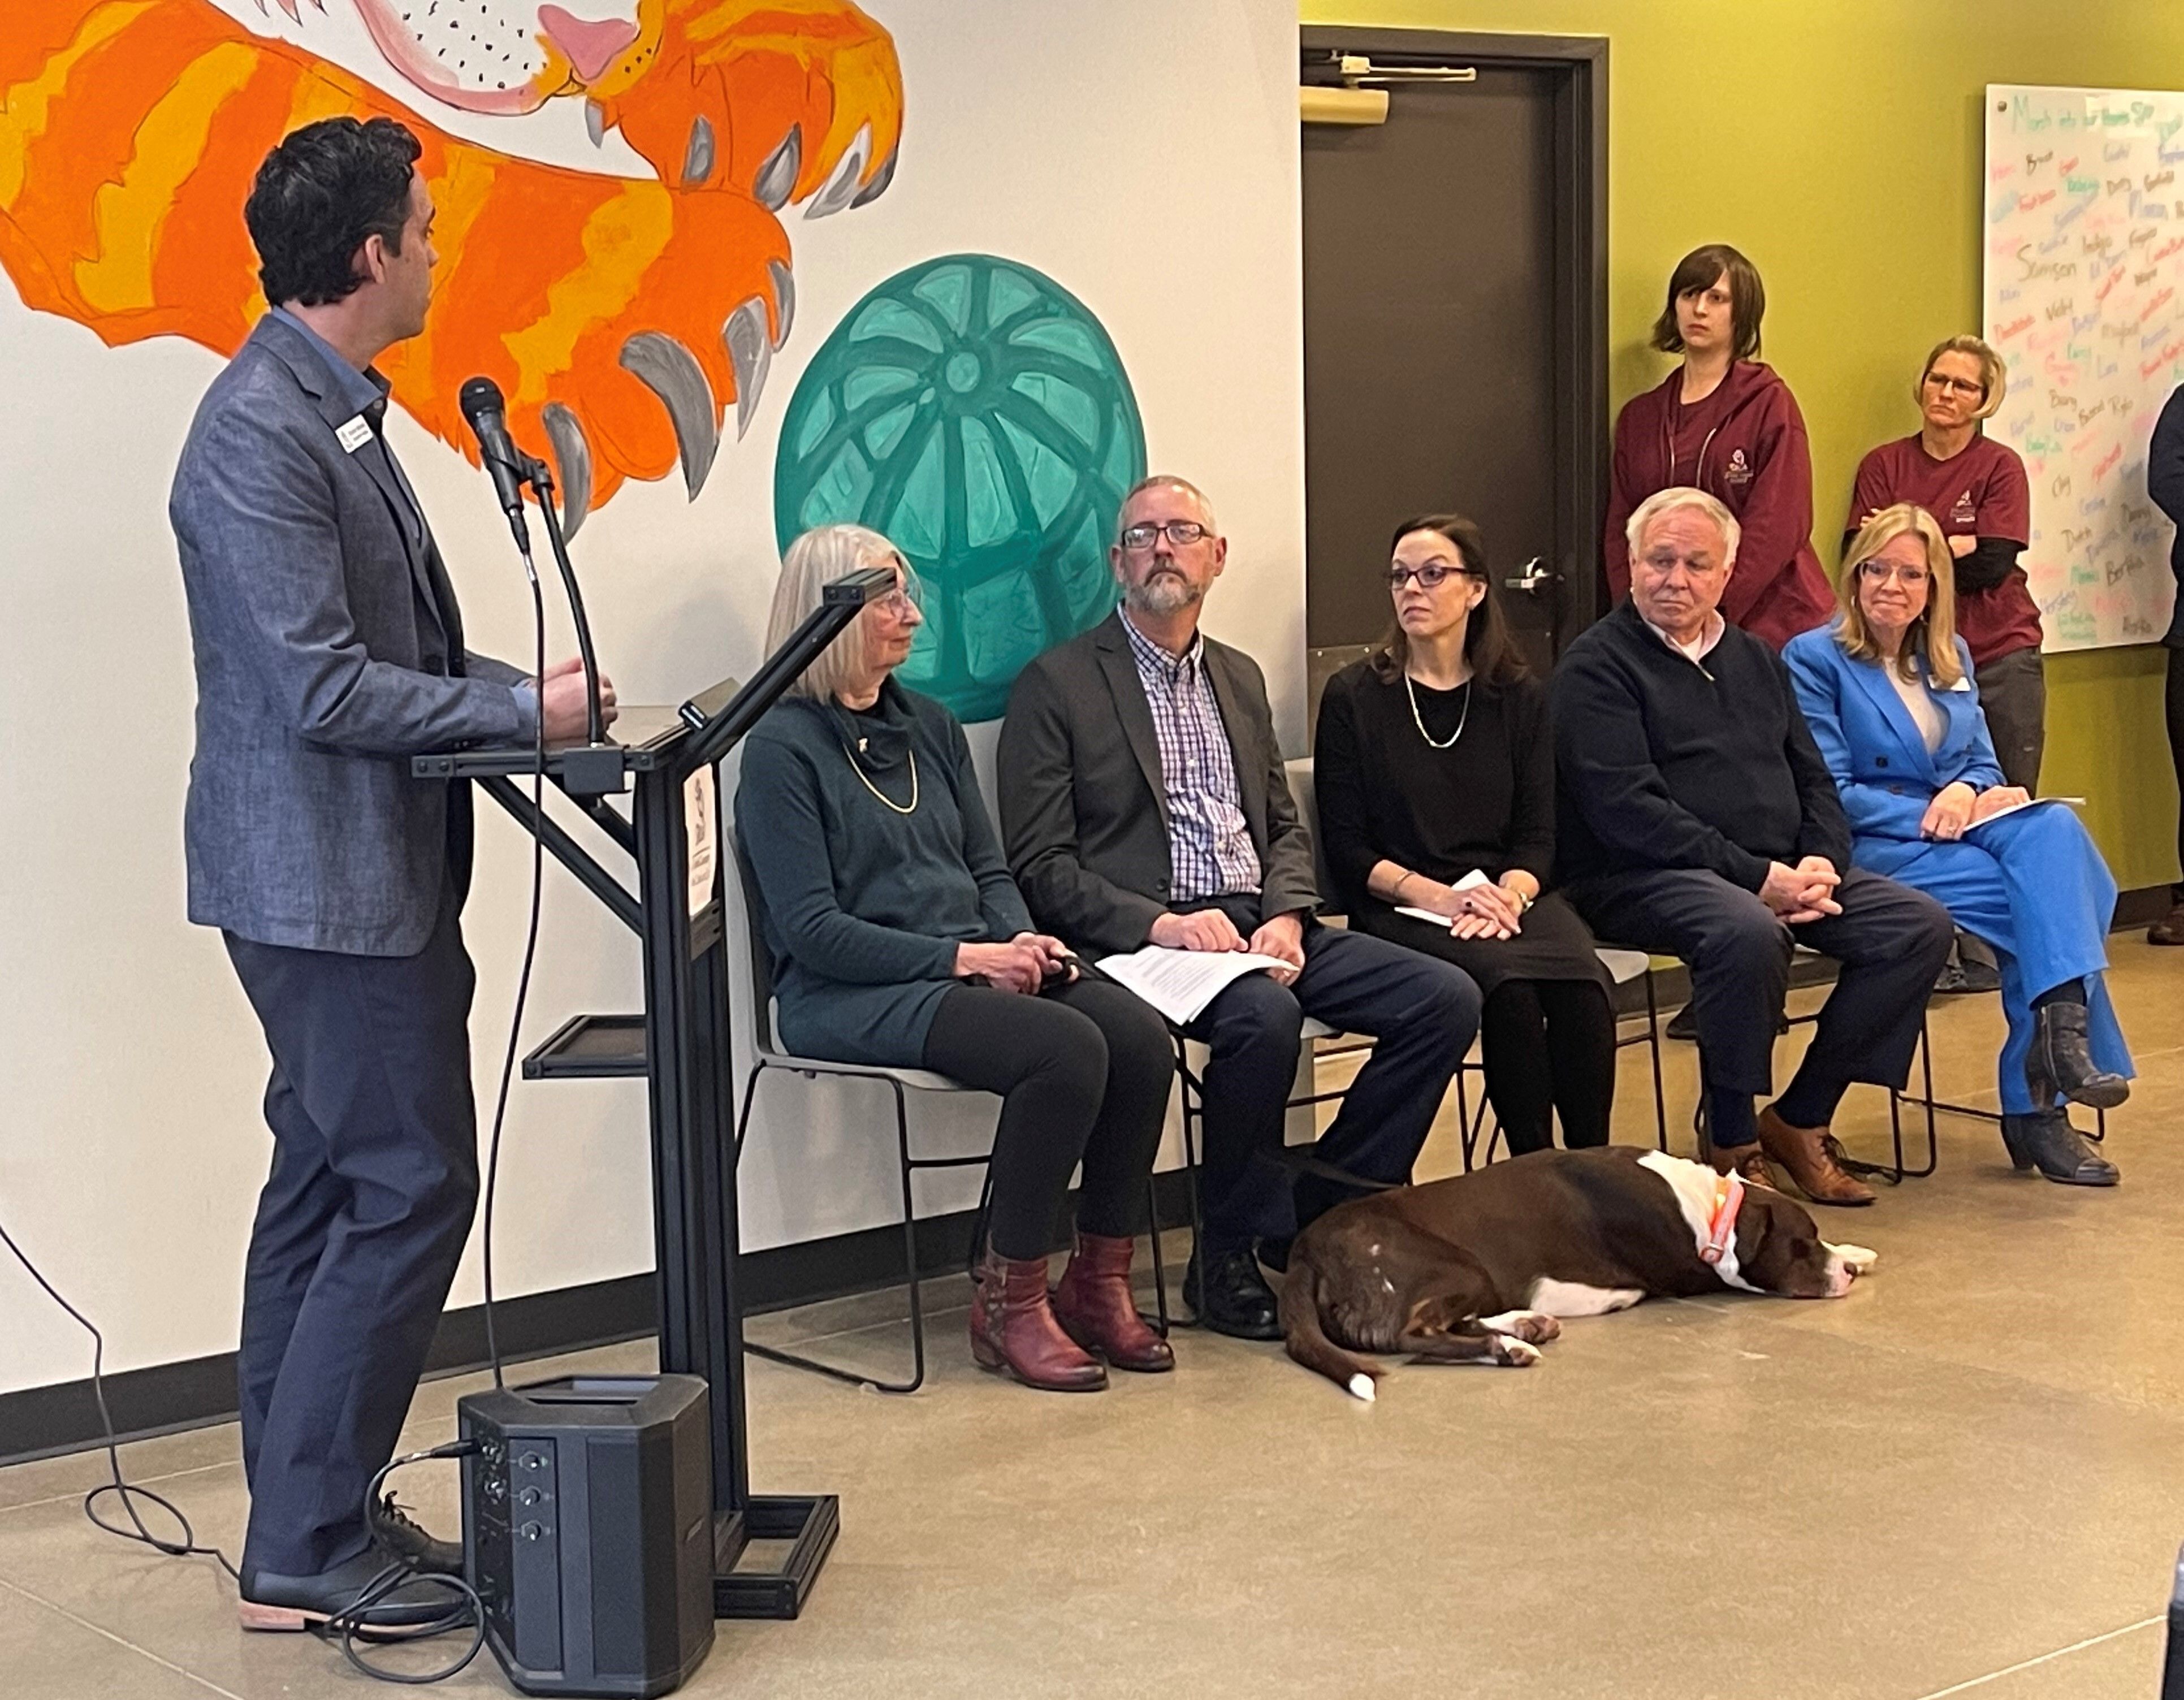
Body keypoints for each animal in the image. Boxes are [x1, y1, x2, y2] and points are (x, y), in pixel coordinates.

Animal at [1275, 1136, 1878, 1390]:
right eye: (1800, 1243)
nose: (1843, 1274)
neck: (1707, 1207)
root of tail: (1305, 1249)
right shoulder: (1690, 1268)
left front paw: (1857, 1252)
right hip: (1457, 1266)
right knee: (1413, 1331)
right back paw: (1510, 1348)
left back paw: (1525, 1326)